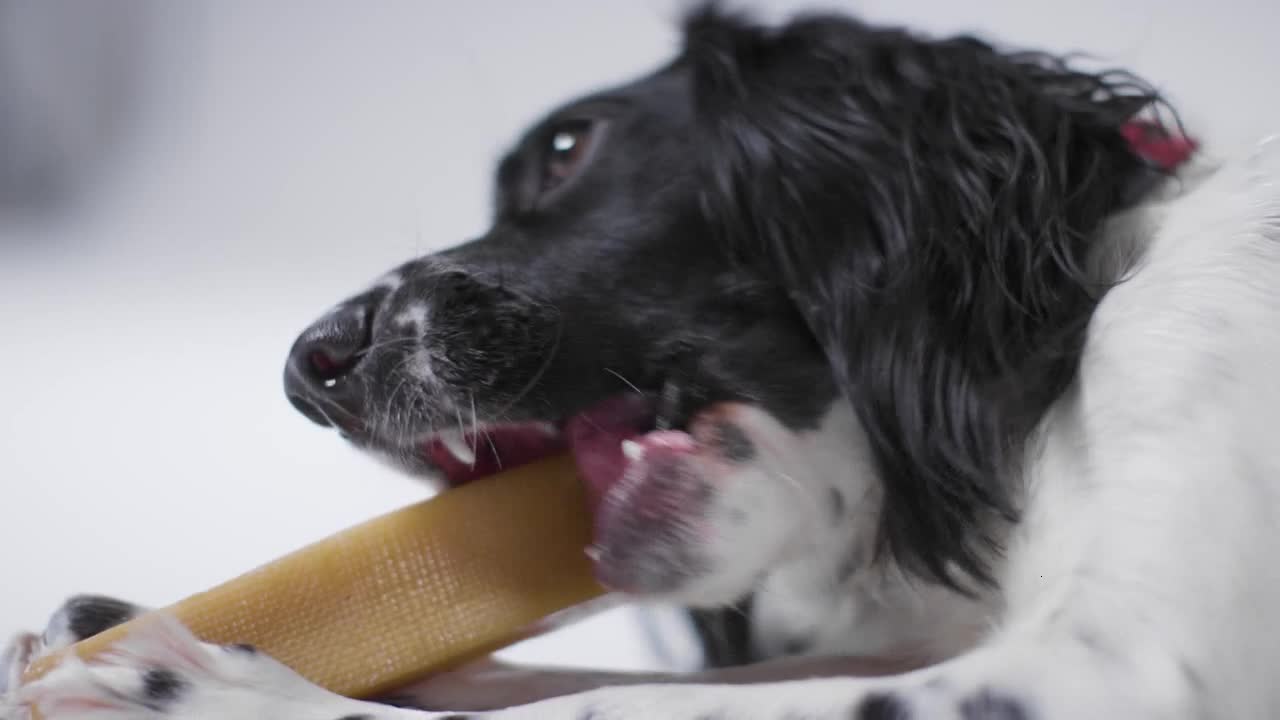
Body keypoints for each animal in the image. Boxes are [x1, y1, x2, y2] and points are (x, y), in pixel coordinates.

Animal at [2, 5, 1280, 717]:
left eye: (569, 148)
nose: (307, 367)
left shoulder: (1108, 672)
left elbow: (613, 706)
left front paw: (205, 689)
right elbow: (626, 686)